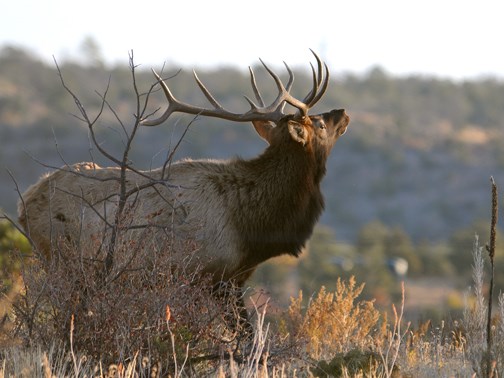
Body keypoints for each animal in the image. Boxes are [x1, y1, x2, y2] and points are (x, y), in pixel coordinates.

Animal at [18, 50, 350, 308]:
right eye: (320, 124)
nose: (343, 111)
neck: (253, 227)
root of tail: (23, 205)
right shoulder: (209, 278)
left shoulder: (234, 280)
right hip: (62, 264)